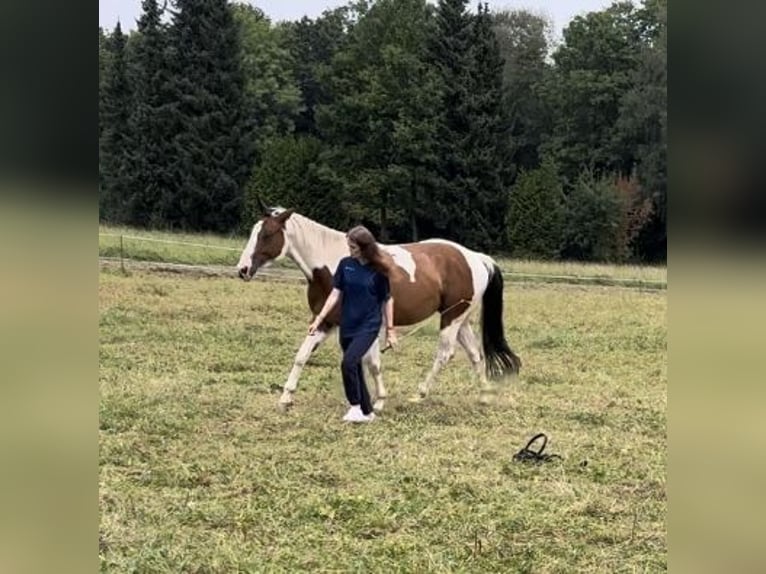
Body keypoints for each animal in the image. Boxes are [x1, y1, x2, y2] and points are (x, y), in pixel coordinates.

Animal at [236, 204, 521, 410]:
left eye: (267, 234)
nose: (242, 270)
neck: (335, 267)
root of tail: (476, 258)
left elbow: (372, 362)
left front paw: (379, 401)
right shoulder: (325, 321)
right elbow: (303, 355)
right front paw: (286, 398)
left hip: (451, 318)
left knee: (445, 354)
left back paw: (420, 393)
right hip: (459, 318)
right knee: (475, 354)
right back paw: (484, 395)